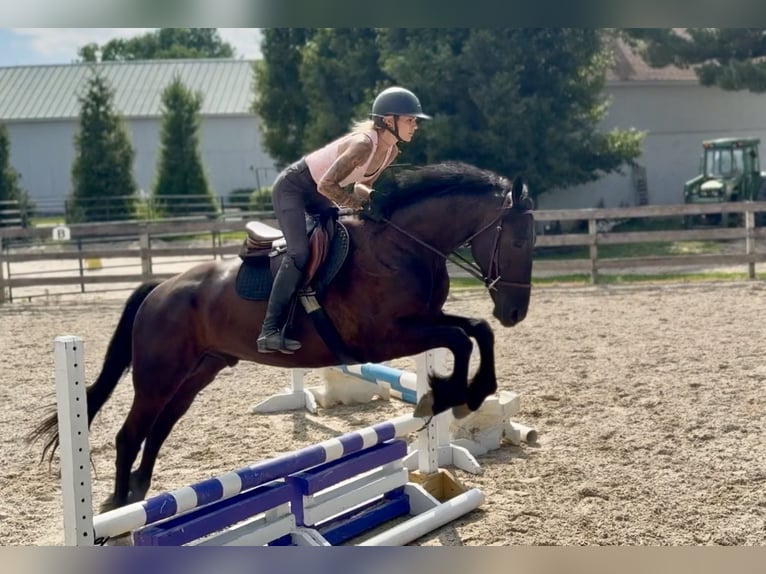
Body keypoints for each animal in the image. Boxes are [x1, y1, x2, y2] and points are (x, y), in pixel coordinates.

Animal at [29, 160, 536, 513]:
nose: (515, 313)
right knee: (129, 435)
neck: (403, 245)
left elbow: (475, 331)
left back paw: (139, 494)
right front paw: (449, 396)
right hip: (156, 377)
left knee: (158, 430)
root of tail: (161, 288)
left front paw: (469, 393)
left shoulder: (424, 320)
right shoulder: (387, 336)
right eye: (518, 241)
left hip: (197, 374)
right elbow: (461, 340)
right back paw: (118, 507)